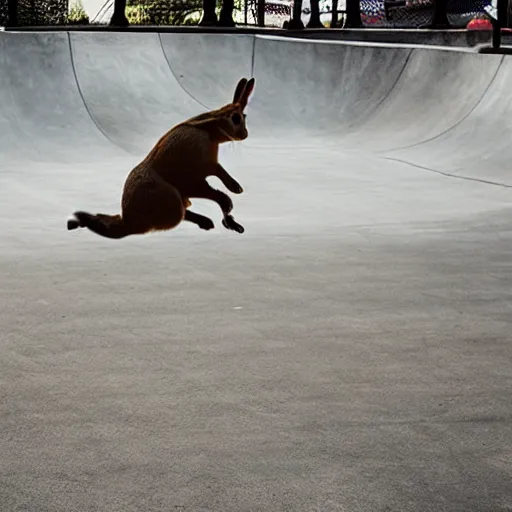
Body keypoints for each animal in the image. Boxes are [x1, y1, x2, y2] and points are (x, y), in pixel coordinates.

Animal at [68, 77, 256, 240]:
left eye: (244, 117)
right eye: (236, 118)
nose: (245, 135)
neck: (210, 129)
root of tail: (129, 223)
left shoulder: (207, 170)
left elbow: (220, 174)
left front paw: (235, 191)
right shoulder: (196, 176)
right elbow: (216, 189)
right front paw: (231, 199)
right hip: (171, 197)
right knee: (180, 215)